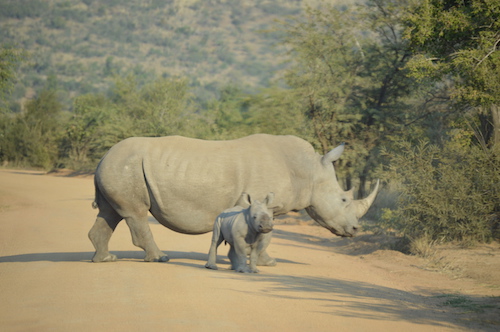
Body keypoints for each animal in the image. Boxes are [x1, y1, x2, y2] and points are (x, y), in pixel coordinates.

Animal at [90, 134, 378, 264]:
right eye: (343, 200)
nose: (355, 229)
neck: (307, 170)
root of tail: (103, 157)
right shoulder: (262, 203)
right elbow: (264, 235)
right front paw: (267, 262)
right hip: (125, 166)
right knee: (135, 213)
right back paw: (160, 258)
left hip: (117, 167)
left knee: (110, 213)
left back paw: (105, 259)